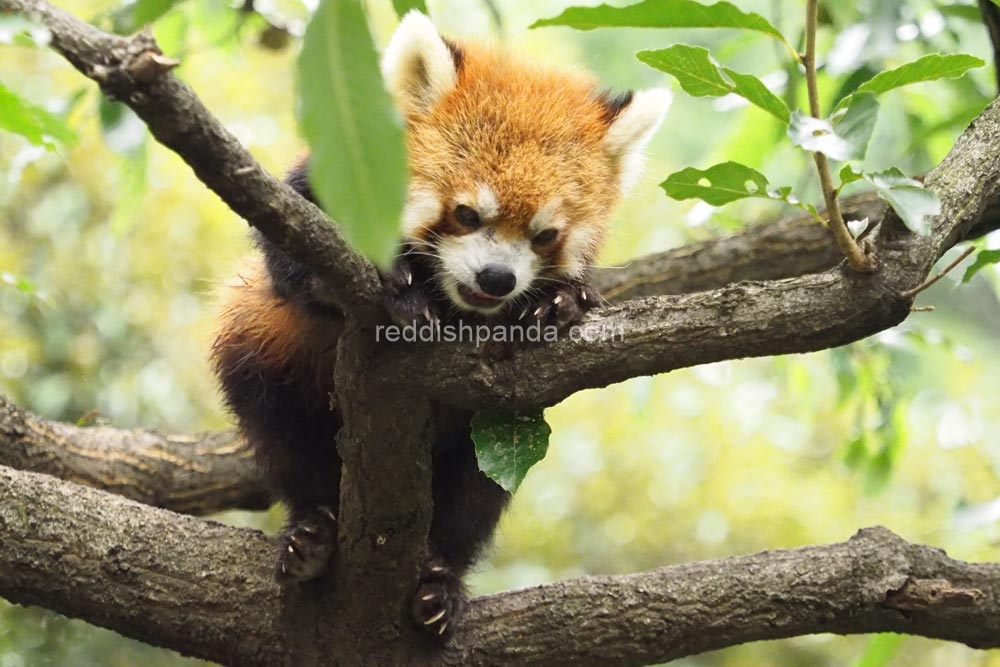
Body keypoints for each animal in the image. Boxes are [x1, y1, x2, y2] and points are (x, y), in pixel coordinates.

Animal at [213, 10, 664, 640]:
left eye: (545, 235)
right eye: (467, 214)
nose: (498, 279)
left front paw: (560, 302)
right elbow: (290, 261)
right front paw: (391, 278)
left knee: (473, 497)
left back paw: (439, 579)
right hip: (264, 364)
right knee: (285, 441)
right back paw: (312, 535)